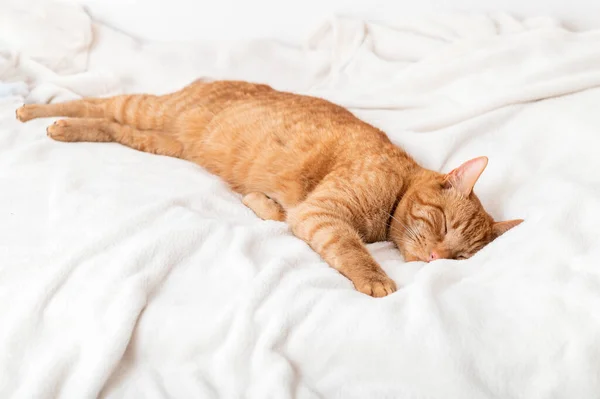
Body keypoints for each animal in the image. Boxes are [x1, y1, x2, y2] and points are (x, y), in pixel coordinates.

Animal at [14, 79, 520, 296]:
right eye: (443, 224)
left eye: (460, 257)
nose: (436, 257)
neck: (397, 185)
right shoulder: (322, 215)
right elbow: (350, 249)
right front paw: (376, 278)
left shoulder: (304, 211)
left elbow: (275, 209)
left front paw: (260, 202)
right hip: (149, 110)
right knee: (97, 101)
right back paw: (38, 112)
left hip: (159, 140)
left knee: (108, 125)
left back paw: (64, 127)